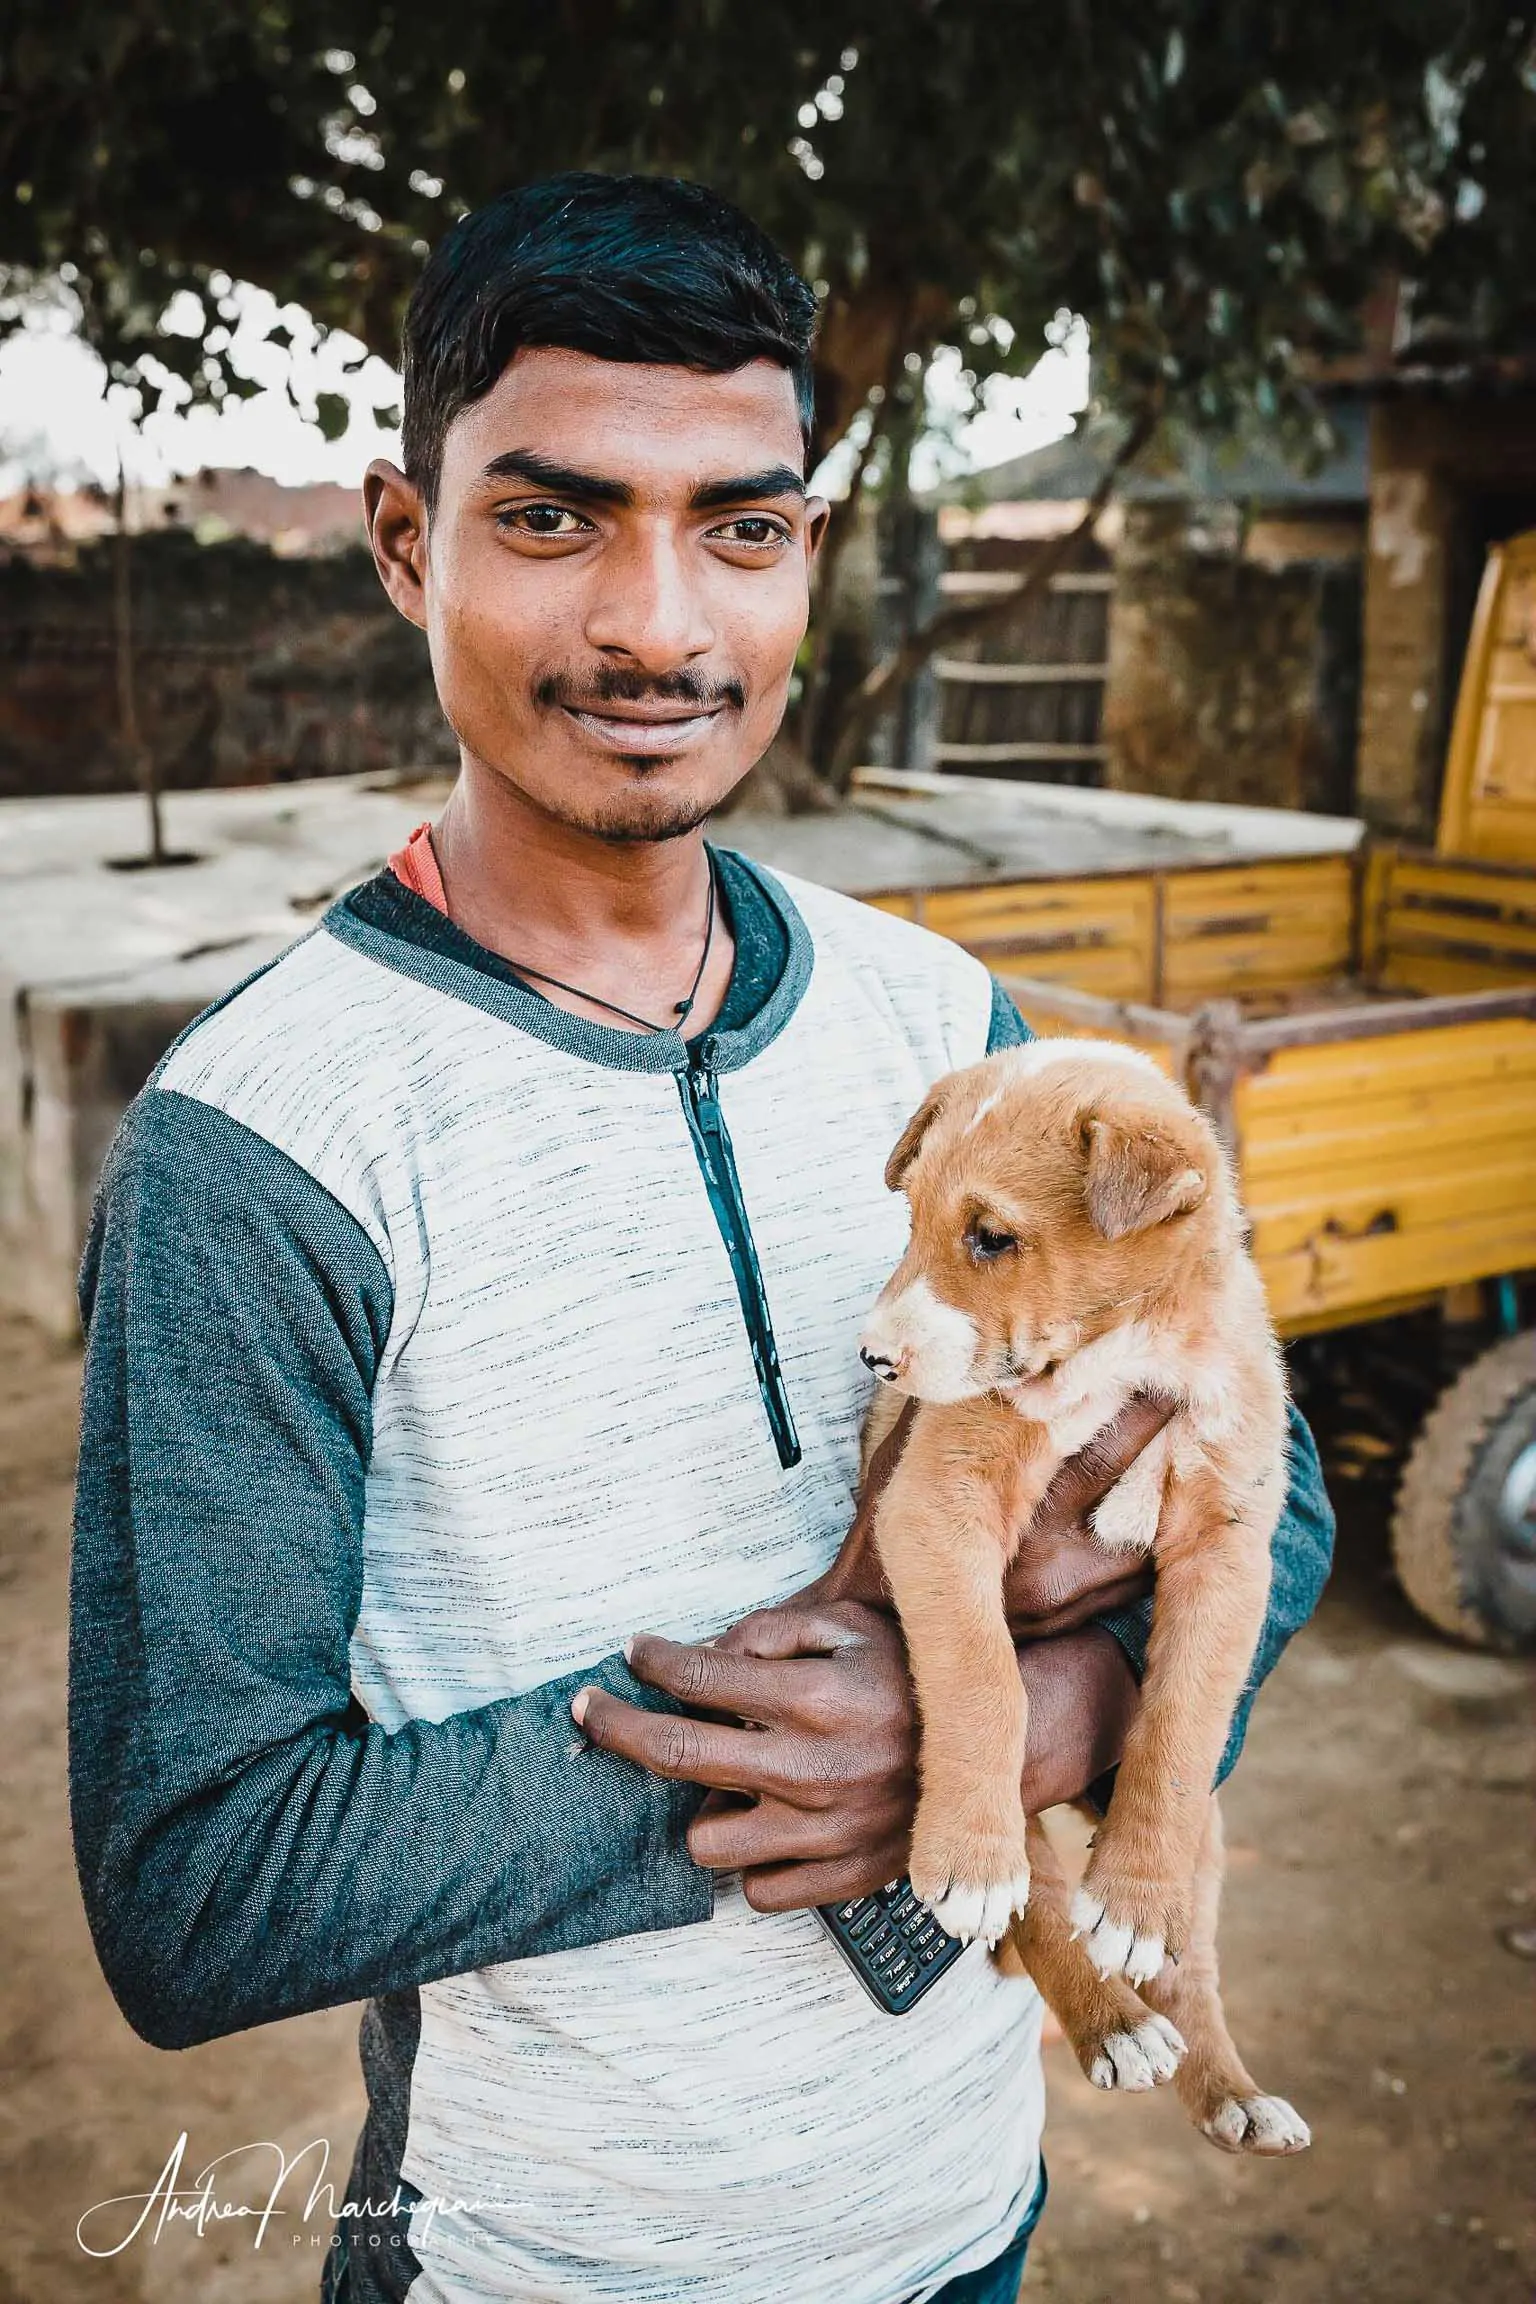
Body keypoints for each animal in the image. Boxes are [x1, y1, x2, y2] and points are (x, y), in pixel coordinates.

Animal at [865, 1046, 1308, 2156]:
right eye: (912, 1219)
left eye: (992, 1236)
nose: (874, 1359)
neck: (1125, 1350)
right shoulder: (935, 1503)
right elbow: (986, 1681)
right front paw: (972, 1858)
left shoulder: (1229, 1551)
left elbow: (1181, 1724)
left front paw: (1136, 1899)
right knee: (1039, 1903)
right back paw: (1106, 2016)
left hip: (1214, 1840)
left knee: (1192, 1966)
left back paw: (1226, 2087)